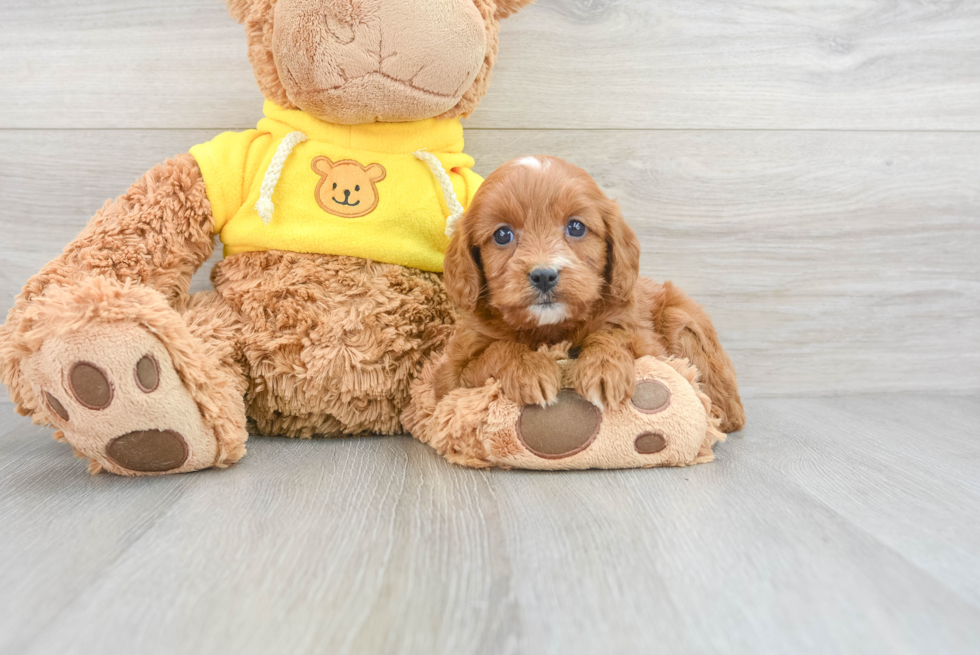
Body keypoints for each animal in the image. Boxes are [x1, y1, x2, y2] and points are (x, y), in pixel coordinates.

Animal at [432, 153, 748, 430]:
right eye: (502, 235)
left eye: (576, 227)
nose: (544, 275)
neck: (550, 328)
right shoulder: (450, 379)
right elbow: (497, 350)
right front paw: (530, 368)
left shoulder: (646, 342)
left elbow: (613, 334)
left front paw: (604, 368)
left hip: (683, 322)